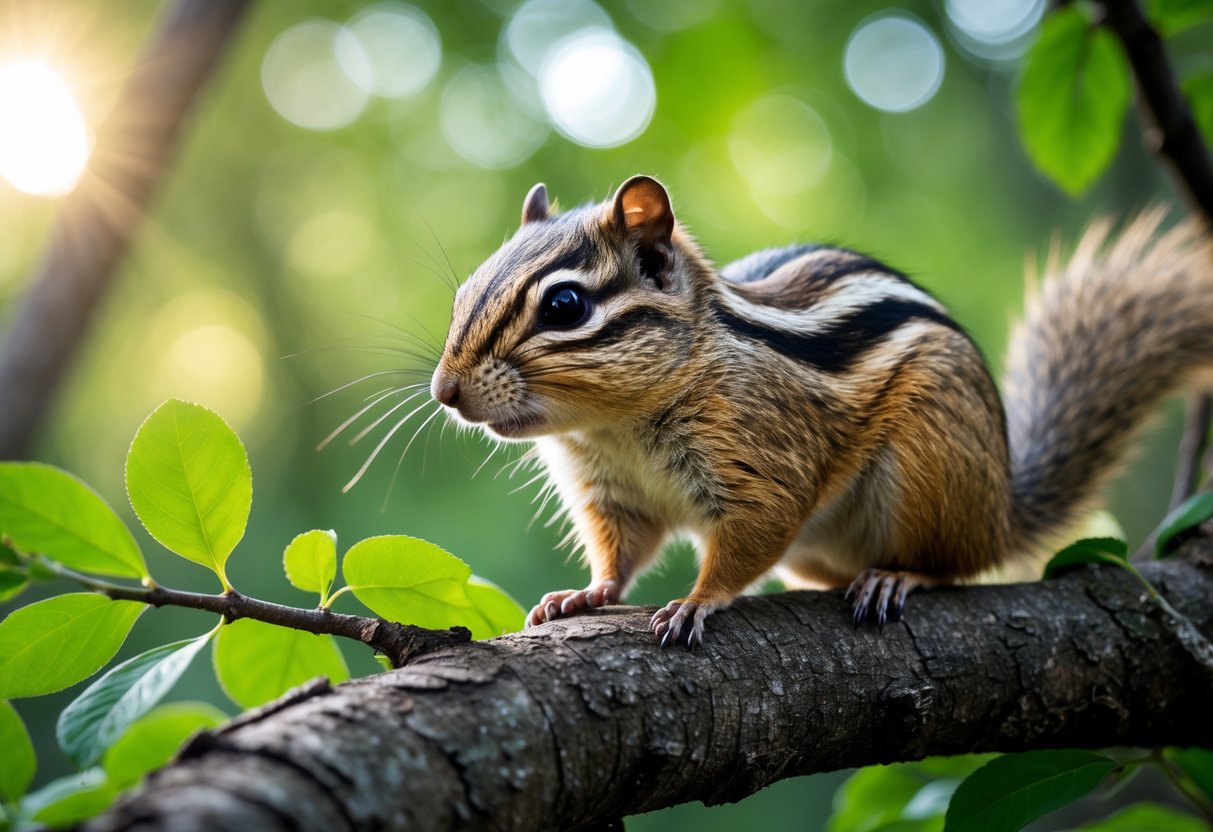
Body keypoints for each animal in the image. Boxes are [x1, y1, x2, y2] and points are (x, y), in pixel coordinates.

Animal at [430, 174, 1213, 647]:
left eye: (565, 305)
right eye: (463, 292)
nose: (445, 391)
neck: (616, 425)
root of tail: (1002, 509)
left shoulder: (765, 463)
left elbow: (750, 536)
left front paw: (696, 601)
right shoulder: (613, 496)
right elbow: (620, 556)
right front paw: (583, 595)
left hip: (931, 465)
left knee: (956, 564)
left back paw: (898, 576)